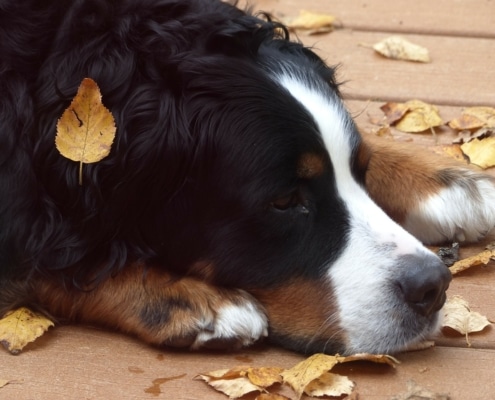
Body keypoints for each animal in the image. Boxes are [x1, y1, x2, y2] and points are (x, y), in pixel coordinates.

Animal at [0, 0, 495, 354]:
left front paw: (454, 184)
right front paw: (194, 301)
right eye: (284, 202)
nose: (432, 286)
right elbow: (51, 259)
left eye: (361, 169)